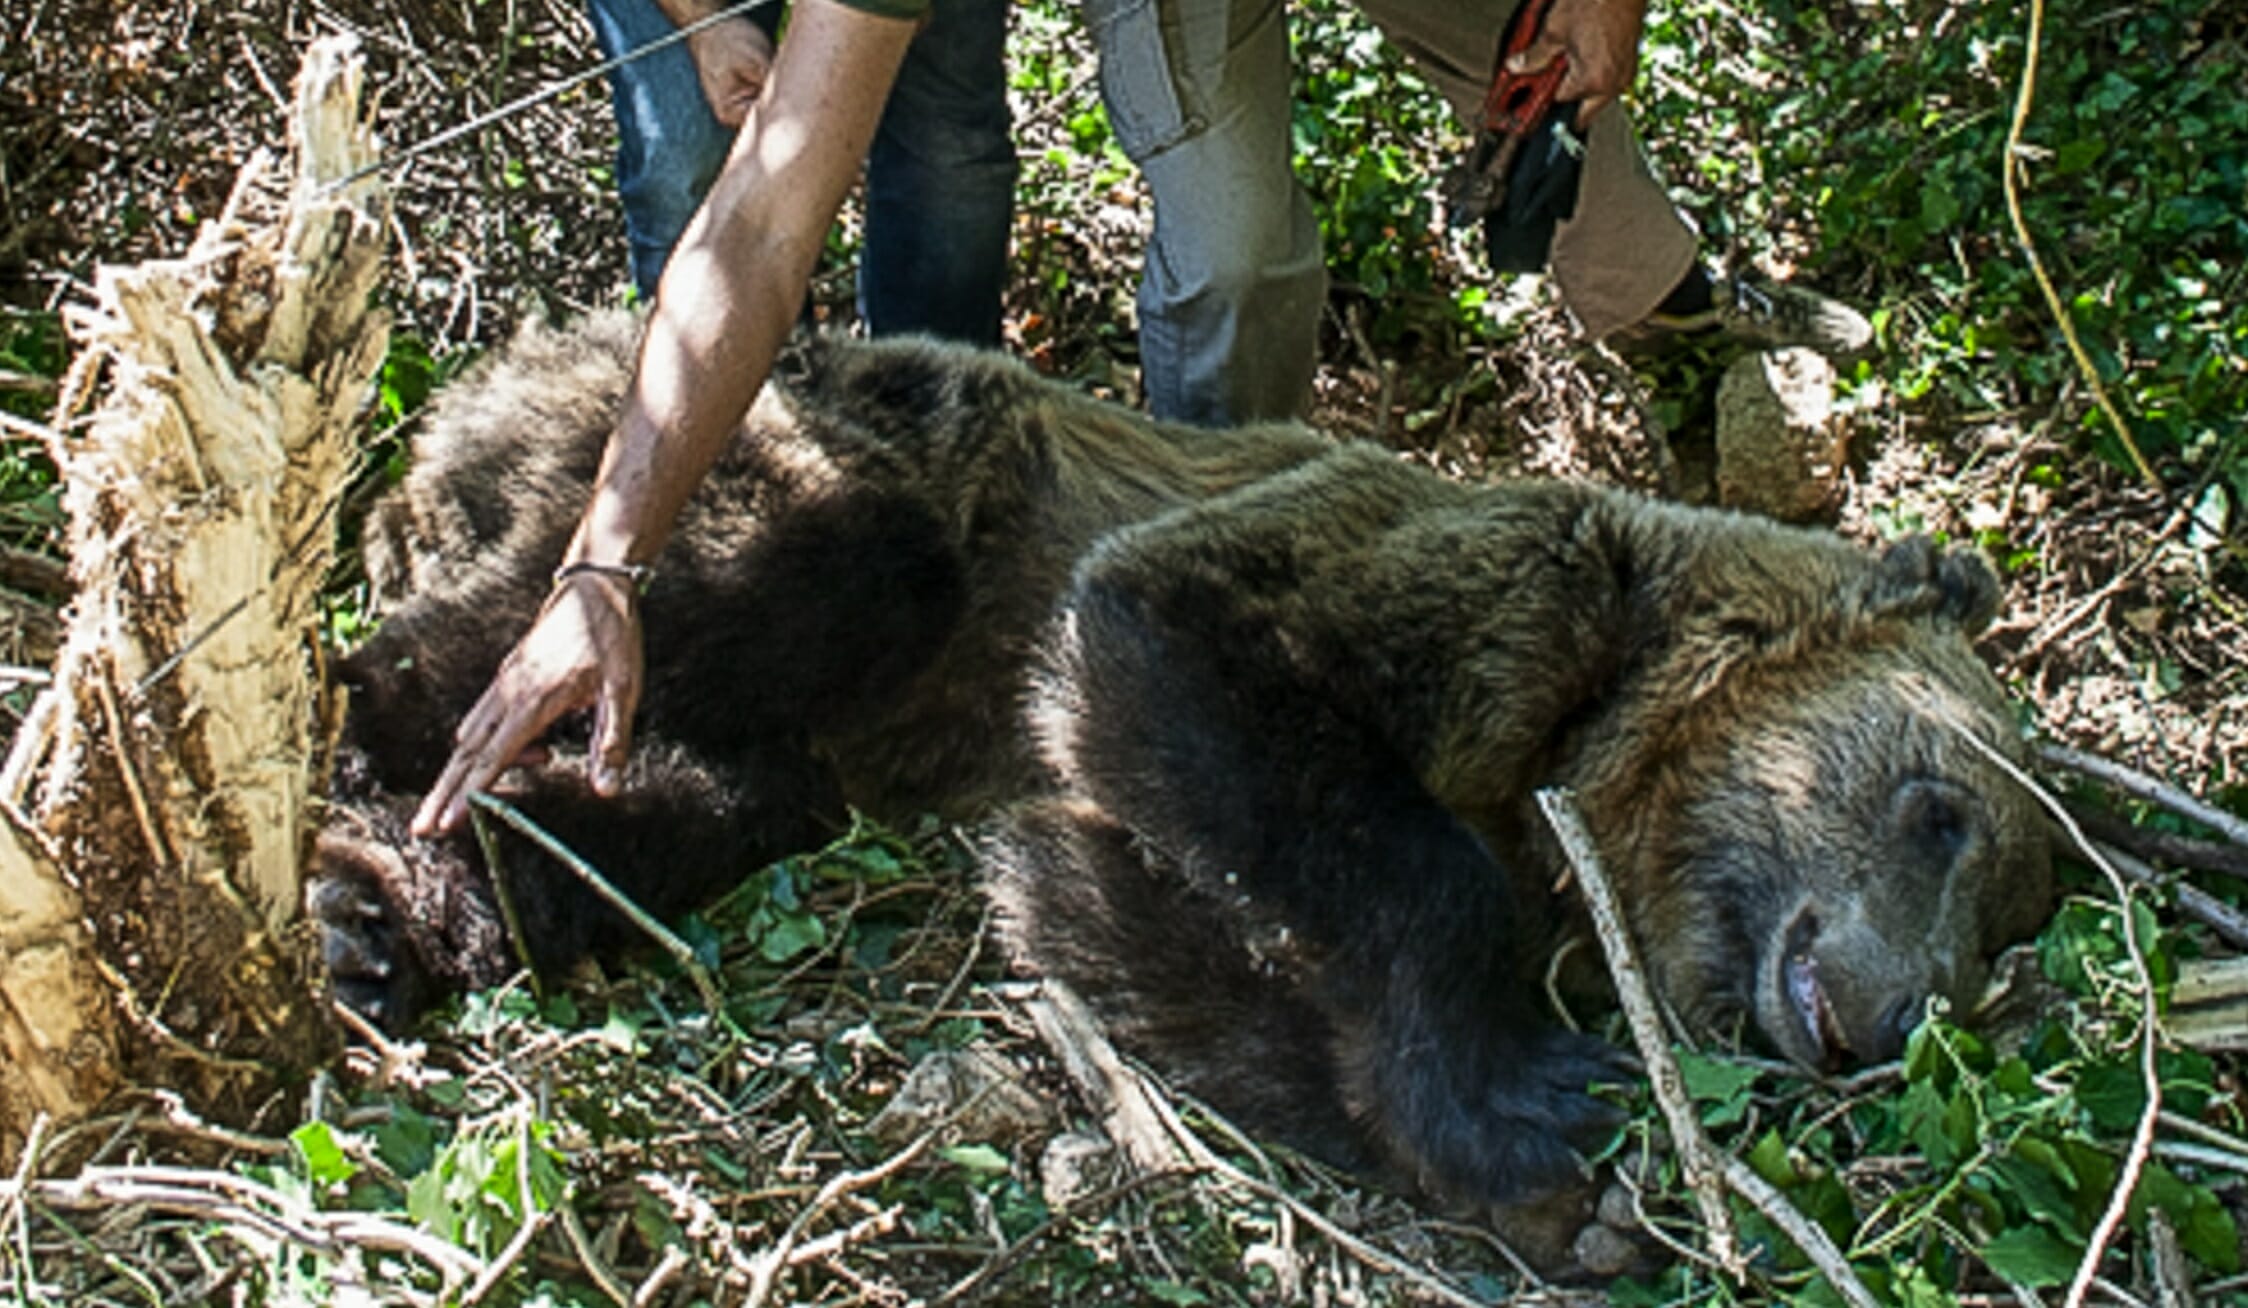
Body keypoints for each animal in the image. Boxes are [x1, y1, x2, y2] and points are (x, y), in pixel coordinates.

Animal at [312, 312, 2059, 1213]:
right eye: (1941, 811)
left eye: (2002, 948)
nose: (1876, 1020)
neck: (1591, 747)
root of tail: (488, 371)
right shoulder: (1471, 581)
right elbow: (1177, 638)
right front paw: (1528, 1109)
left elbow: (1124, 917)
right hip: (789, 438)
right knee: (779, 580)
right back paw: (376, 750)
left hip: (813, 739)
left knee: (689, 799)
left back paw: (389, 919)